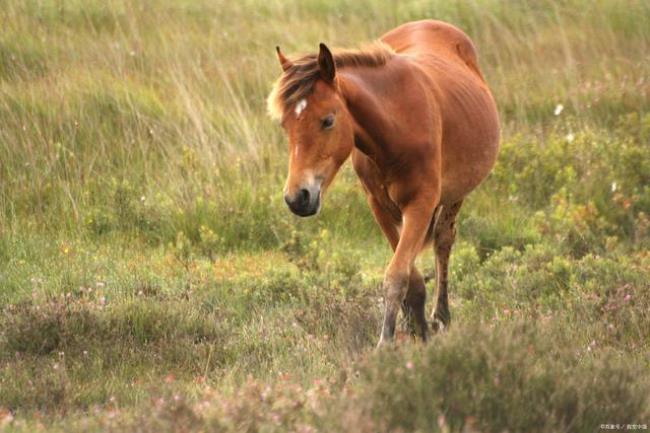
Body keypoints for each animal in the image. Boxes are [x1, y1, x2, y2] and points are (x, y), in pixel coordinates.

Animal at [266, 19, 498, 344]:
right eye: (285, 125)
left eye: (328, 120)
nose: (297, 198)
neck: (396, 131)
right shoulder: (379, 205)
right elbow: (409, 277)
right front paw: (416, 329)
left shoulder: (420, 205)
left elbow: (396, 276)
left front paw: (386, 343)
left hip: (455, 195)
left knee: (444, 240)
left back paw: (441, 316)